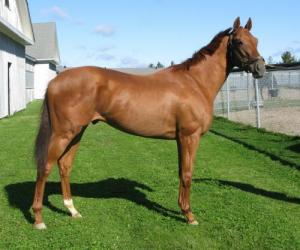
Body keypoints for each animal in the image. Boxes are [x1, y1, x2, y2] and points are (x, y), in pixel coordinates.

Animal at [31, 17, 264, 229]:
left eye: (256, 40)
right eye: (239, 42)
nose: (260, 68)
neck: (195, 83)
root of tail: (54, 81)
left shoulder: (180, 139)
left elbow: (181, 172)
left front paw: (182, 209)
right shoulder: (190, 136)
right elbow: (188, 174)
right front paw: (189, 216)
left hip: (77, 132)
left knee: (64, 166)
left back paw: (72, 210)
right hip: (63, 133)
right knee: (45, 167)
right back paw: (39, 219)